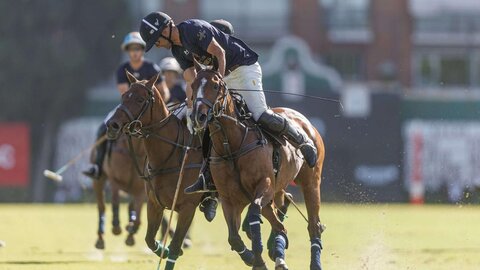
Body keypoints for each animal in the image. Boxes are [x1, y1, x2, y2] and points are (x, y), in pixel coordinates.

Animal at [105, 71, 204, 270]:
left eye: (140, 99)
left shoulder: (188, 206)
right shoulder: (154, 202)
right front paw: (162, 250)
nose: (112, 125)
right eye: (123, 96)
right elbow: (149, 239)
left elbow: (175, 245)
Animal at [191, 68, 326, 268]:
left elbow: (255, 215)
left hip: (311, 183)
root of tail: (306, 122)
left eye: (215, 86)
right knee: (281, 224)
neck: (231, 146)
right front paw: (252, 257)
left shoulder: (265, 185)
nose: (198, 117)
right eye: (193, 86)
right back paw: (277, 252)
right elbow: (234, 237)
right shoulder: (230, 199)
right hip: (277, 190)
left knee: (313, 225)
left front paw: (258, 258)